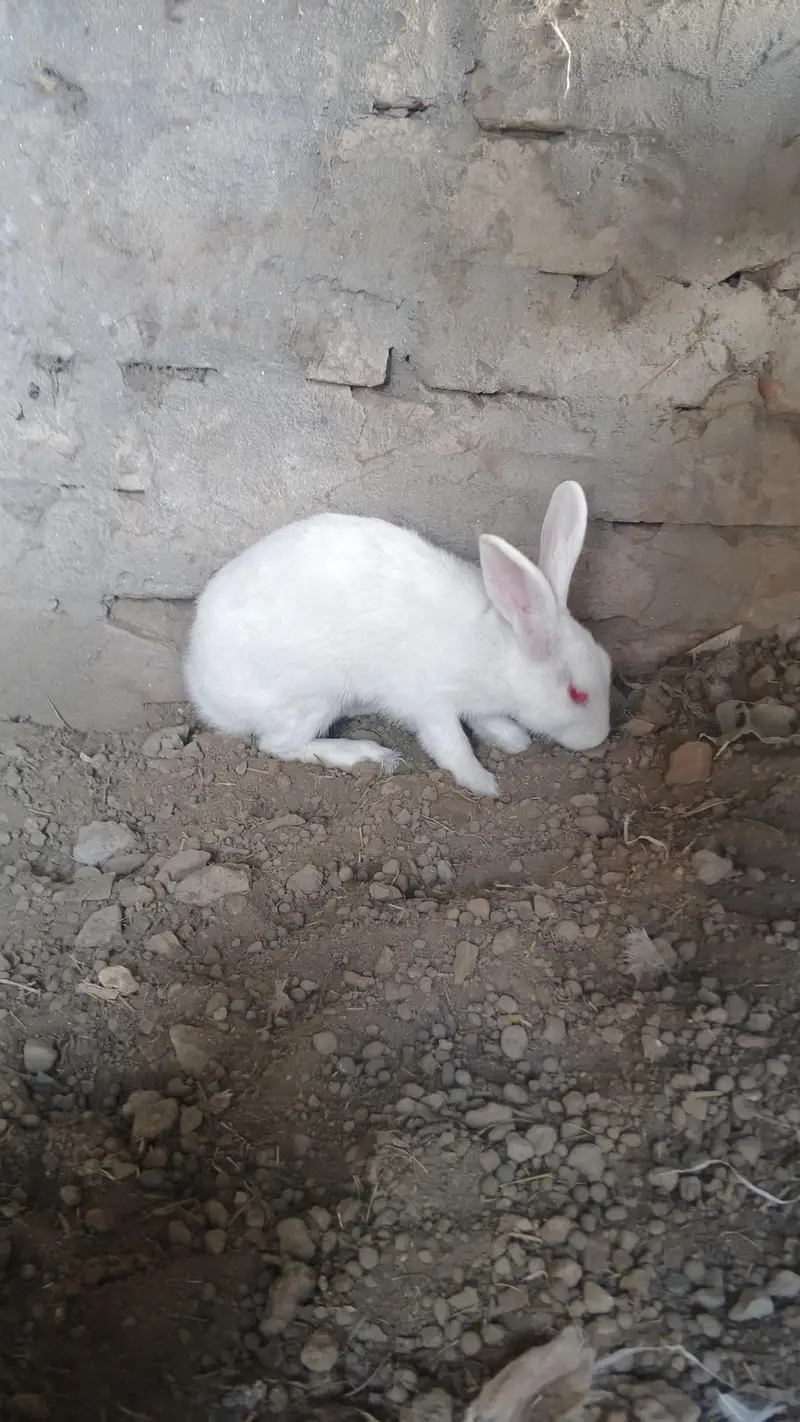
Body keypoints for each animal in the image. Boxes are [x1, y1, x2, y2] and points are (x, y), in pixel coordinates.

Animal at [184, 480, 611, 797]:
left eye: (607, 664)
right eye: (577, 694)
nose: (599, 738)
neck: (501, 648)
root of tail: (203, 689)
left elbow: (486, 718)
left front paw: (513, 738)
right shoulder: (430, 704)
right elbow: (452, 746)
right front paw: (484, 783)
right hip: (312, 698)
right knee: (277, 744)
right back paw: (368, 755)